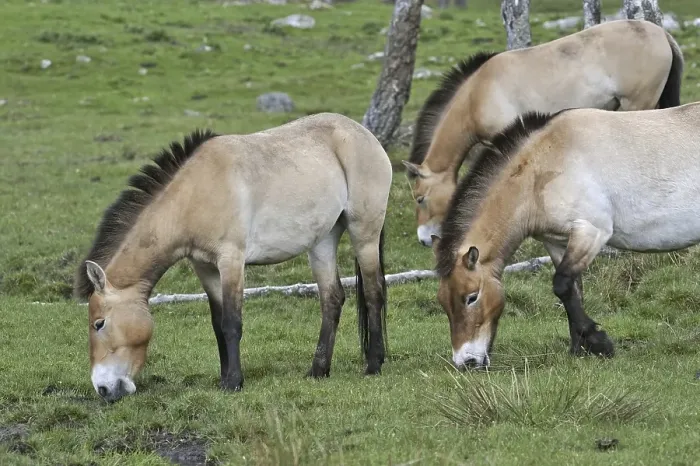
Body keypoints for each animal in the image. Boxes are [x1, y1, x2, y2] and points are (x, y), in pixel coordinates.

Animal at [73, 113, 392, 402]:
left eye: (99, 323)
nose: (103, 389)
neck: (194, 195)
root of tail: (365, 135)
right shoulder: (205, 267)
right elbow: (218, 324)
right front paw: (224, 377)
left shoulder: (231, 260)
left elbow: (232, 322)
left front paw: (234, 382)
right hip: (323, 242)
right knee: (332, 299)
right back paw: (318, 370)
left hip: (364, 233)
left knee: (373, 292)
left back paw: (374, 364)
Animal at [430, 101, 700, 368]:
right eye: (443, 302)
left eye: (471, 297)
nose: (466, 361)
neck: (544, 164)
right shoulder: (557, 243)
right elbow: (573, 291)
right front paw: (578, 349)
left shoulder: (591, 232)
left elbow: (561, 284)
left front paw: (600, 344)